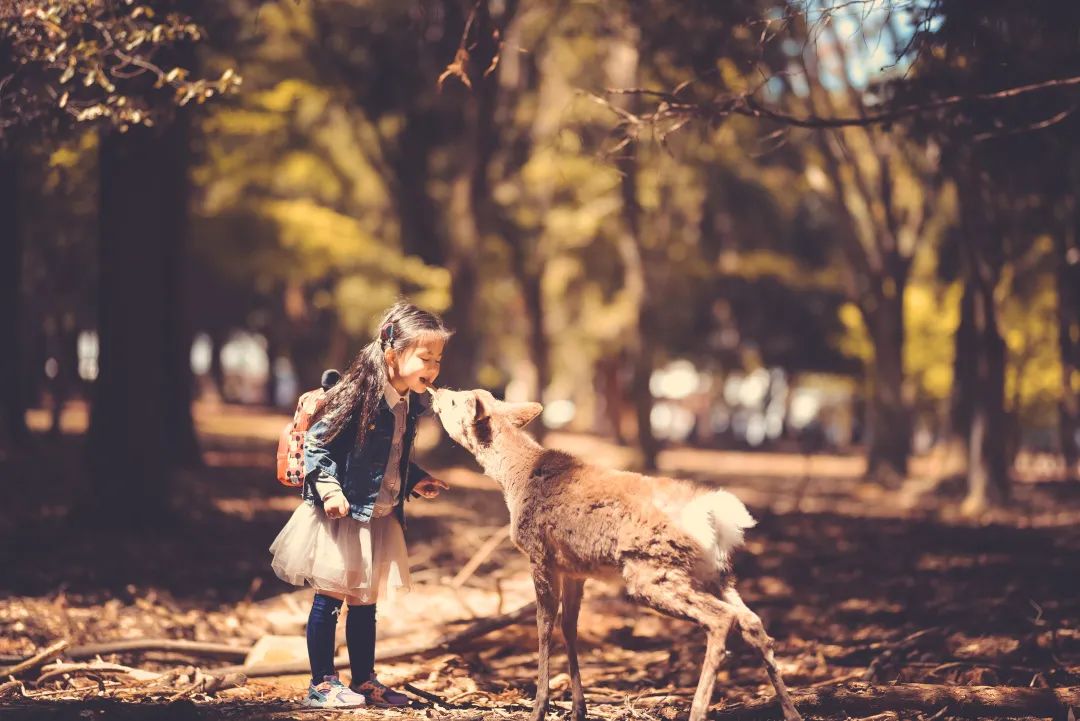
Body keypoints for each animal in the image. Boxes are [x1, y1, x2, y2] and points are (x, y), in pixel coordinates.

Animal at [427, 386, 803, 721]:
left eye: (456, 400)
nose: (436, 390)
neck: (515, 480)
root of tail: (716, 518)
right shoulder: (574, 569)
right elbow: (569, 626)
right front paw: (578, 709)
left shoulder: (539, 554)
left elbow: (544, 626)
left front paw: (539, 708)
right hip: (715, 573)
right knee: (752, 621)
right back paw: (791, 710)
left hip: (652, 571)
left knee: (722, 619)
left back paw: (697, 711)